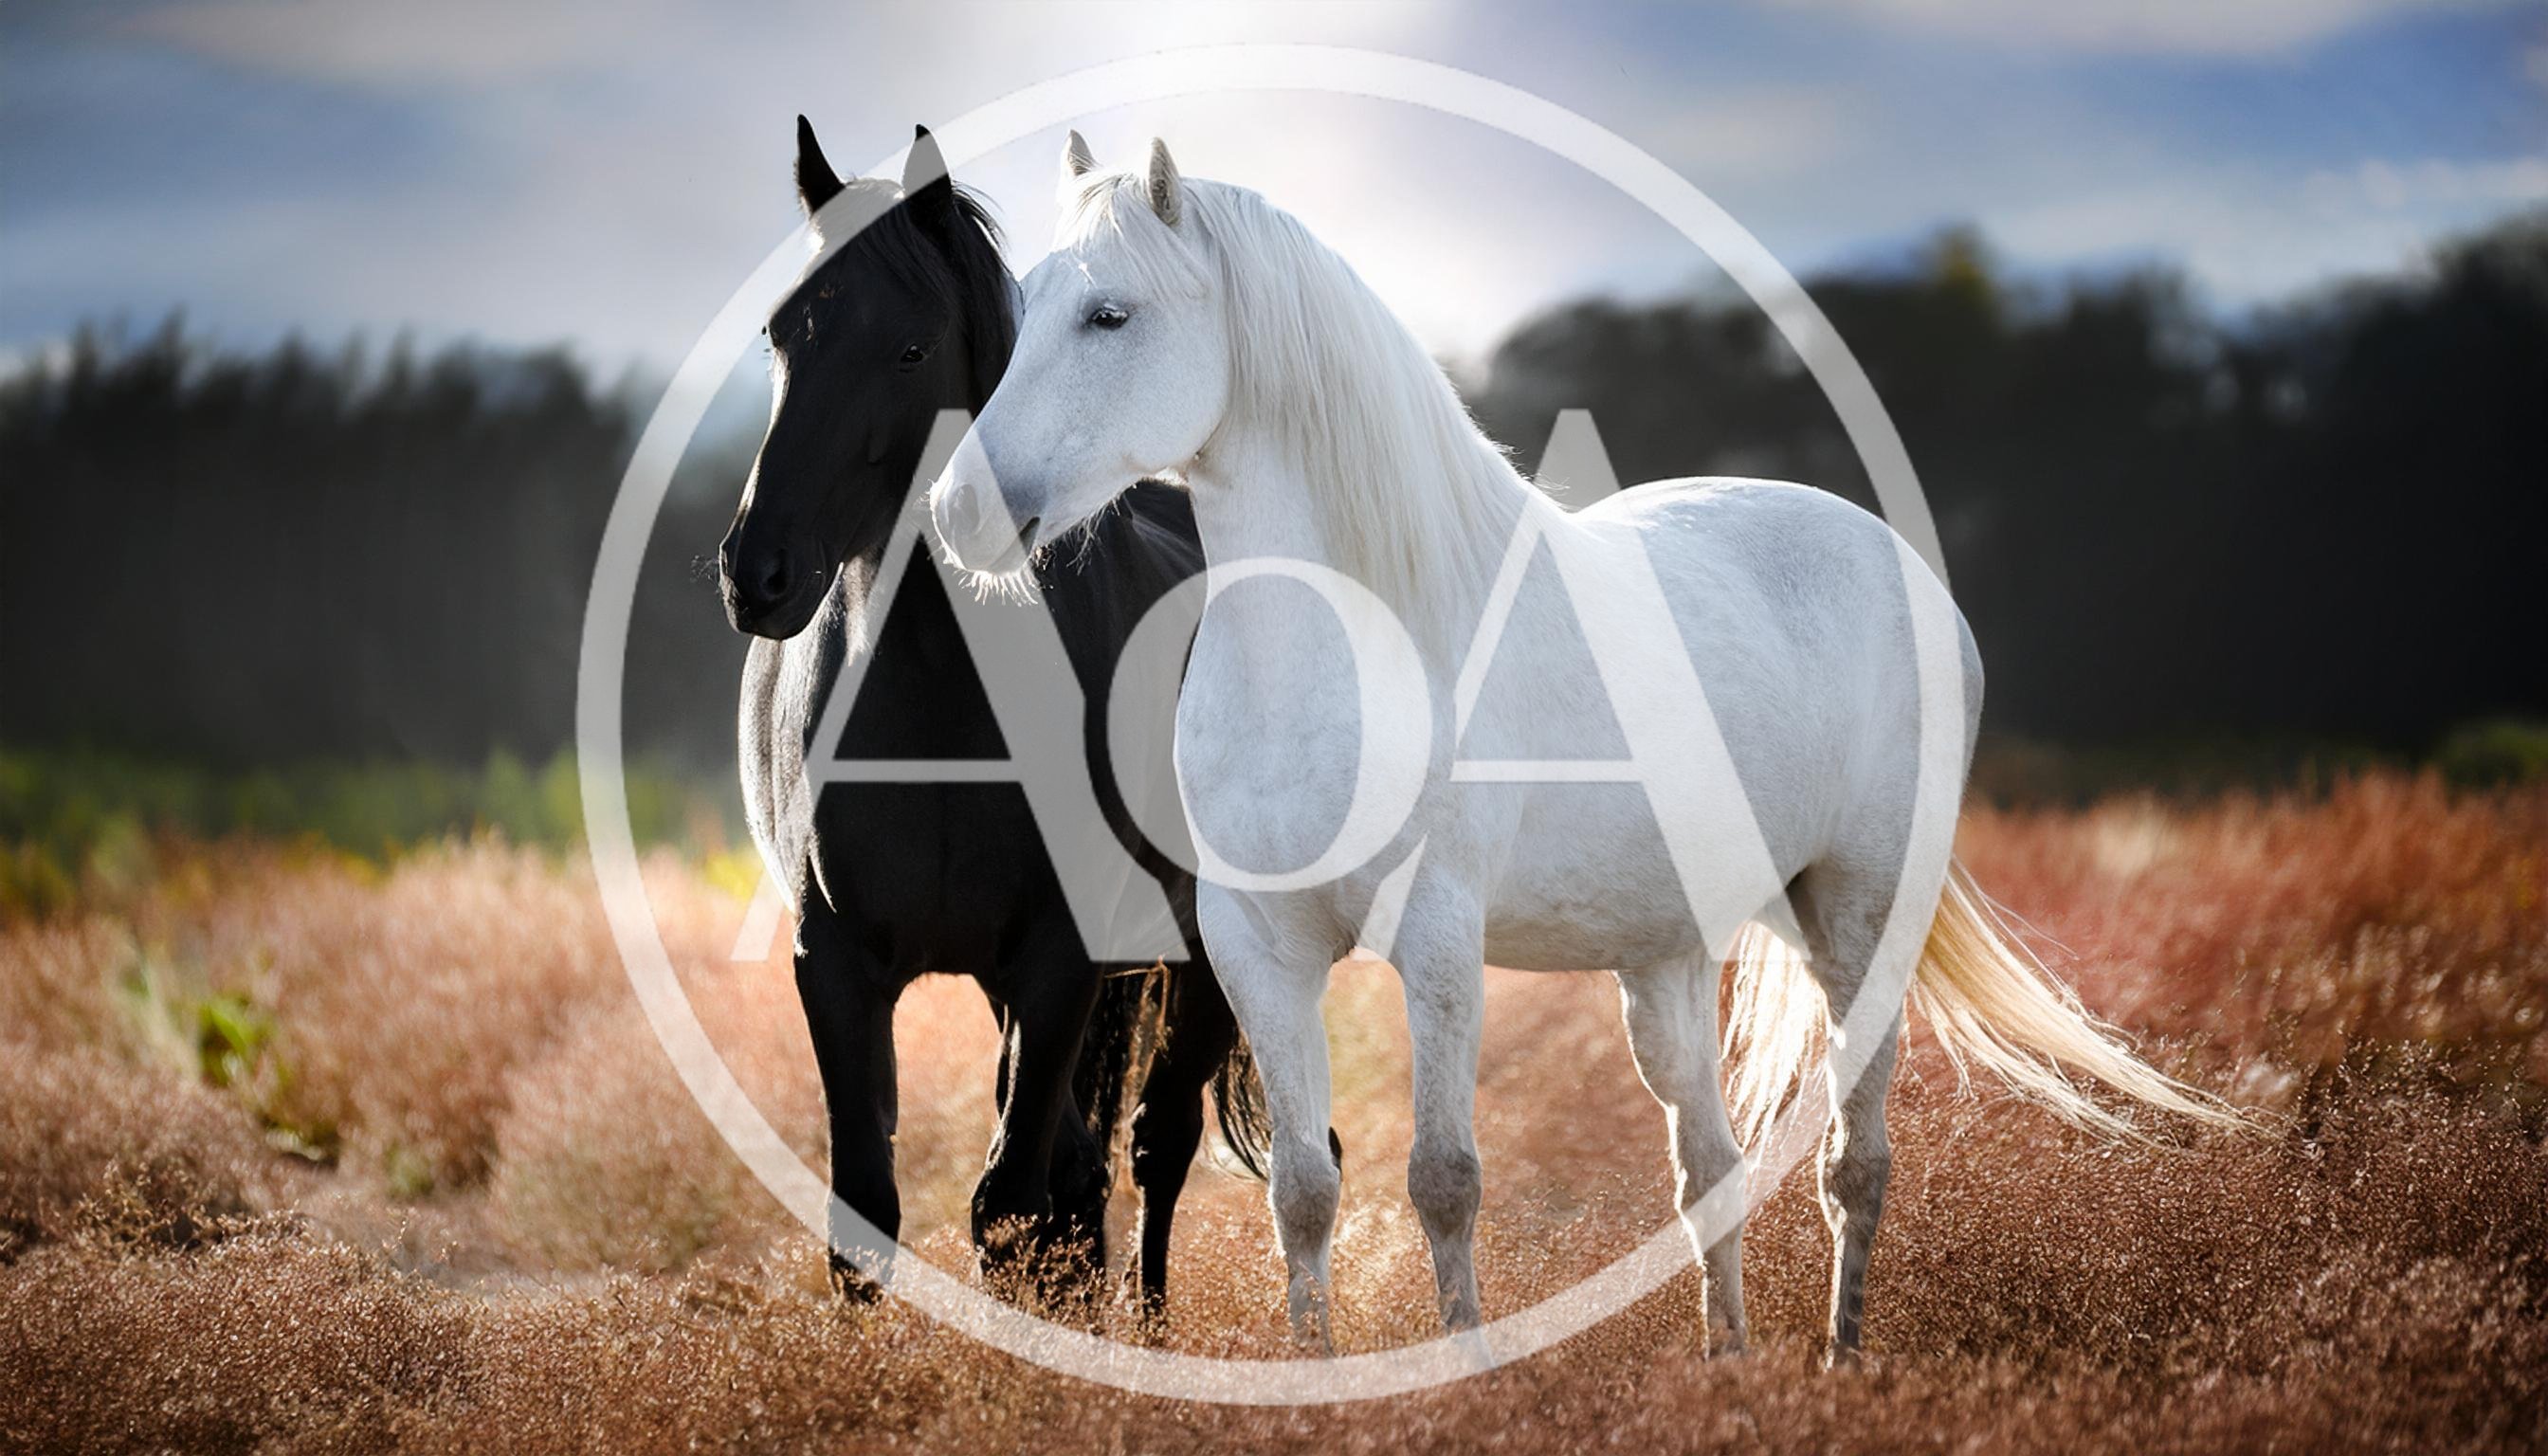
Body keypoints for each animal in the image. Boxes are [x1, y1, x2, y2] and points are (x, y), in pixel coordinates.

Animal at [715, 118, 1270, 1313]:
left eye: (911, 351)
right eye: (782, 334)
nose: (757, 572)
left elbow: (1012, 1207)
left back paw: (1154, 1332)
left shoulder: (1057, 962)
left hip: (1206, 950)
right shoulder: (836, 963)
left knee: (1154, 1147)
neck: (938, 706)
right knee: (1089, 1169)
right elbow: (871, 1220)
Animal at [930, 136, 2243, 1361]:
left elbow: (1443, 1181)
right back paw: (1728, 1361)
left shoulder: (1439, 944)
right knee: (1709, 1164)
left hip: (1858, 916)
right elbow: (1303, 1192)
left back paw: (1838, 1360)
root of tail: (1905, 568)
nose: (958, 513)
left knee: (1852, 1162)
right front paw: (1315, 1371)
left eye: (1111, 313)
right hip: (1665, 956)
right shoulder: (1262, 951)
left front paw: (1463, 1369)